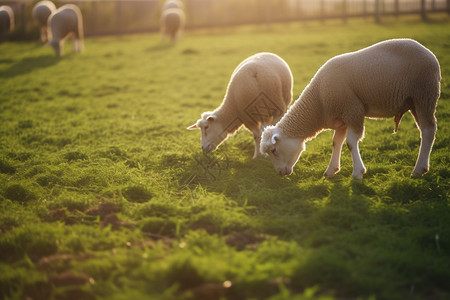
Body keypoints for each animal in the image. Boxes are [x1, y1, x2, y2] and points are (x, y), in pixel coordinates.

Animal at [260, 39, 440, 180]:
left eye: (274, 150)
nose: (280, 173)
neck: (318, 101)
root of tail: (429, 53)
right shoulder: (342, 117)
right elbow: (336, 142)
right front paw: (331, 170)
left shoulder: (353, 110)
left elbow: (351, 143)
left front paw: (358, 172)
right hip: (415, 102)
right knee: (426, 129)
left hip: (424, 95)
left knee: (428, 130)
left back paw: (419, 169)